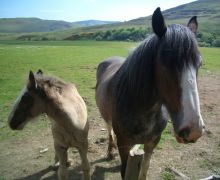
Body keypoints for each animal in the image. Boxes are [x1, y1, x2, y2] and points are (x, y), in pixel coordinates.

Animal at [95, 7, 205, 179]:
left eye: (199, 64)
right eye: (165, 62)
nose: (194, 130)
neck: (144, 110)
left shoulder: (152, 143)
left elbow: (144, 170)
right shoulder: (123, 144)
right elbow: (124, 170)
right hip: (106, 116)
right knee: (109, 130)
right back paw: (110, 152)